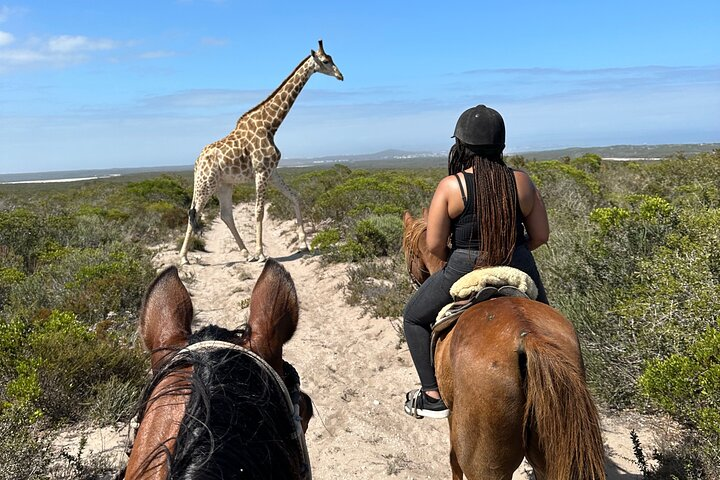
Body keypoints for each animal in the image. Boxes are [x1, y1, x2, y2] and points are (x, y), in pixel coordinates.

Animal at [402, 211, 606, 480]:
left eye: (409, 252)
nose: (413, 280)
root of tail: (528, 337)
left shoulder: (451, 416)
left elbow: (453, 463)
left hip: (485, 463)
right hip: (549, 455)